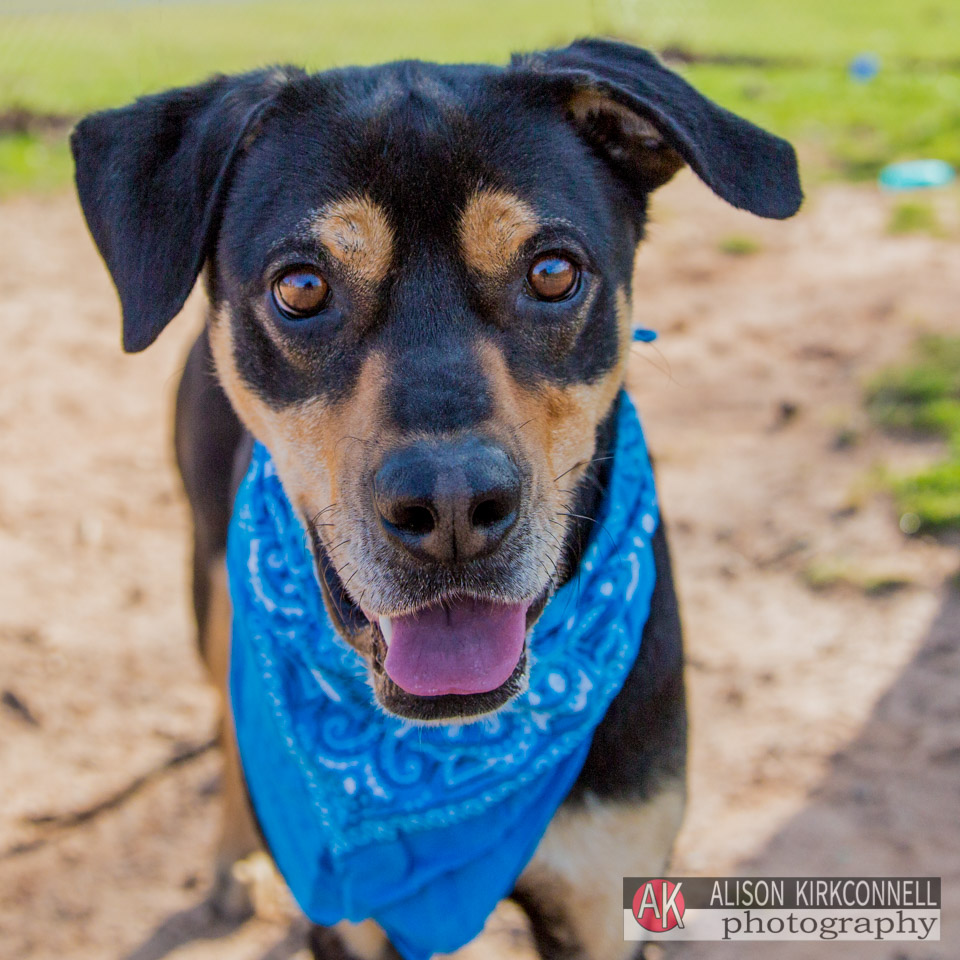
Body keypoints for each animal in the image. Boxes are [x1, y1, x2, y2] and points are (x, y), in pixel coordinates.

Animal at [71, 39, 800, 960]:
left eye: (553, 272)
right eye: (301, 287)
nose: (452, 505)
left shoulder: (606, 898)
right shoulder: (351, 923)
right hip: (207, 581)